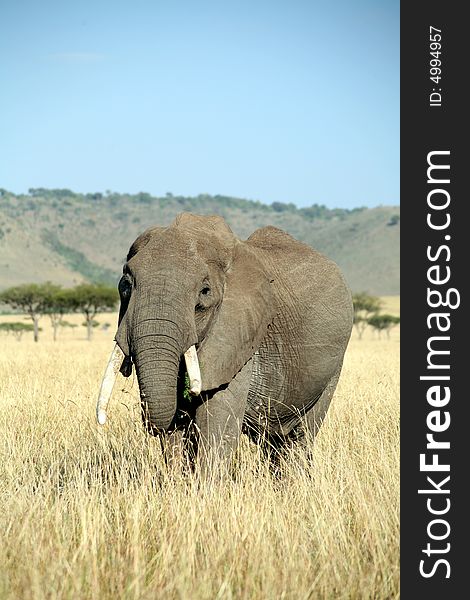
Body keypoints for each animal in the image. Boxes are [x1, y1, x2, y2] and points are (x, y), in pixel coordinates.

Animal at [95, 213, 352, 476]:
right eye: (125, 286)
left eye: (205, 292)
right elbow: (177, 426)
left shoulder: (238, 334)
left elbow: (218, 421)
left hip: (333, 367)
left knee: (301, 436)